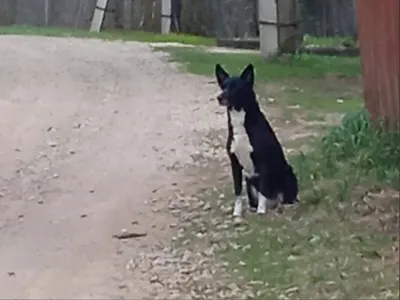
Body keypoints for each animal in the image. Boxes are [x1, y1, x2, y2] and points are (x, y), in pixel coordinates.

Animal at [216, 63, 296, 217]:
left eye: (236, 87)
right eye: (223, 86)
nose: (219, 97)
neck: (241, 122)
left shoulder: (262, 161)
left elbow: (263, 190)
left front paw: (261, 210)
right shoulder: (234, 163)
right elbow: (237, 191)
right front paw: (237, 212)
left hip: (288, 173)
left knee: (285, 198)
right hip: (249, 182)